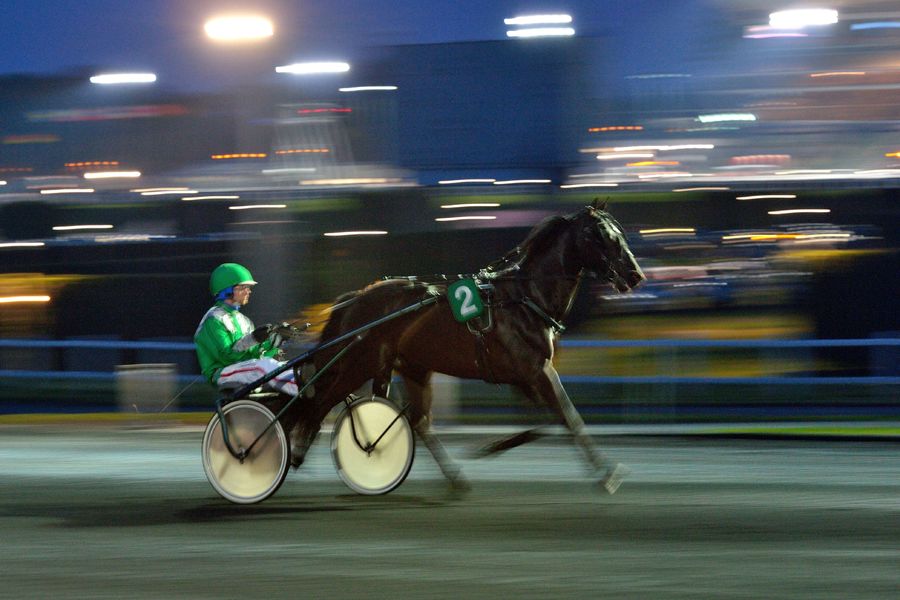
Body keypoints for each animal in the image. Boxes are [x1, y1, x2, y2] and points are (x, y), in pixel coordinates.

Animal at [288, 200, 640, 492]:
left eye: (619, 232)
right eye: (600, 235)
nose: (635, 274)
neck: (525, 298)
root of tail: (356, 298)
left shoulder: (524, 376)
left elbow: (546, 422)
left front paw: (490, 447)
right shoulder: (538, 371)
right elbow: (569, 416)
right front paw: (608, 474)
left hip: (411, 368)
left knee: (417, 421)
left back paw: (449, 476)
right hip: (360, 364)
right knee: (320, 402)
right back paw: (298, 451)